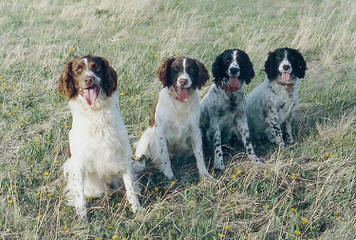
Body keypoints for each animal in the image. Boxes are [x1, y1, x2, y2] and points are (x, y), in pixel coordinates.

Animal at [57, 55, 141, 220]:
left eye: (96, 67)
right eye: (78, 70)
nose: (89, 79)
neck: (95, 112)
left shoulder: (123, 154)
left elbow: (130, 187)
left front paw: (137, 209)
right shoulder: (78, 162)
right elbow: (80, 196)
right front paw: (83, 218)